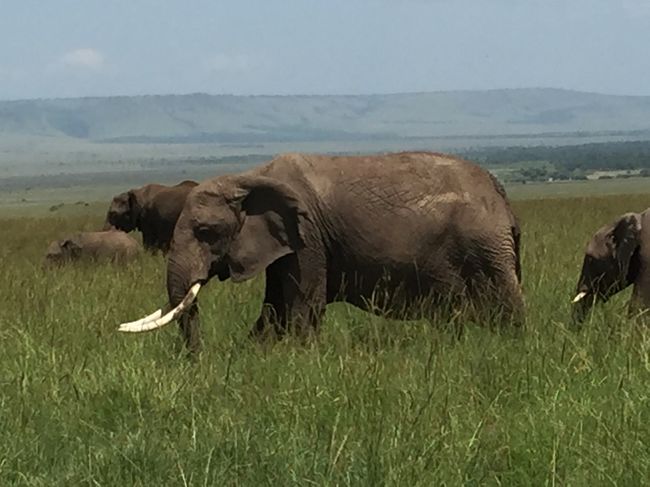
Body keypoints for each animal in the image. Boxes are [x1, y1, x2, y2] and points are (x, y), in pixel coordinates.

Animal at [116, 151, 520, 352]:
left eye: (205, 232)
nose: (196, 359)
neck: (249, 177)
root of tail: (503, 197)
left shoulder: (308, 236)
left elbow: (301, 305)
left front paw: (299, 358)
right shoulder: (284, 243)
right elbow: (275, 306)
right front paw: (256, 354)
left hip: (485, 248)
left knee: (505, 308)